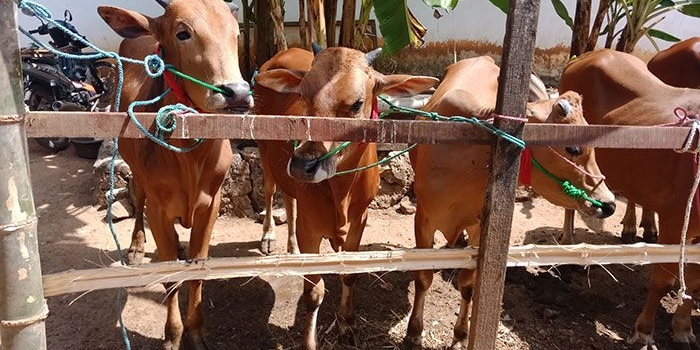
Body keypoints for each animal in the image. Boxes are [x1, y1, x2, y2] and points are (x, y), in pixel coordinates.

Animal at [95, 1, 252, 348]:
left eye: (236, 34)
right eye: (183, 33)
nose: (236, 93)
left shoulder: (212, 203)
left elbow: (197, 272)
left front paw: (196, 332)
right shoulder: (159, 208)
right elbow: (171, 281)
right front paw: (173, 334)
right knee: (137, 197)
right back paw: (136, 246)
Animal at [252, 47, 438, 350]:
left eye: (356, 104)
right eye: (302, 94)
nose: (303, 165)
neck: (341, 191)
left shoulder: (360, 219)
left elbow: (349, 273)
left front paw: (346, 324)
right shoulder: (310, 227)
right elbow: (313, 292)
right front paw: (310, 342)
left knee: (289, 201)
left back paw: (292, 247)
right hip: (264, 153)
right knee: (269, 192)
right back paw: (269, 237)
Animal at [402, 56, 616, 348]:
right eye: (572, 148)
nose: (609, 203)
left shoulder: (479, 225)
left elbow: (468, 284)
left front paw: (460, 335)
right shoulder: (423, 218)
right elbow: (423, 277)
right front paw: (413, 333)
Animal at [560, 48, 700, 350]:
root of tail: (588, 54)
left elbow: (694, 283)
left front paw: (683, 328)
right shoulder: (676, 220)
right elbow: (663, 279)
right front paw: (644, 331)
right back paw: (569, 244)